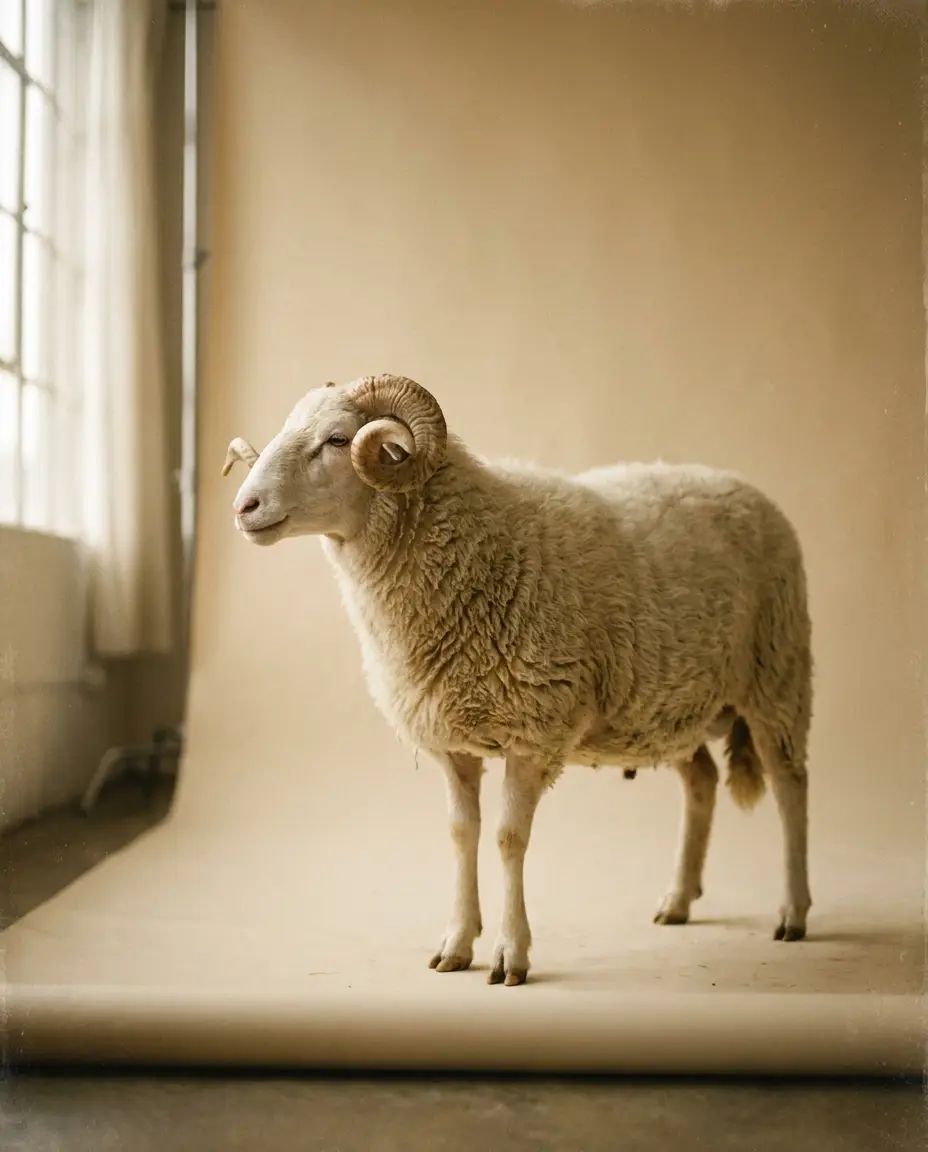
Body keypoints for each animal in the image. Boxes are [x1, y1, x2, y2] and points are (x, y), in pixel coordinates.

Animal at [223, 373, 813, 986]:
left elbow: (508, 839)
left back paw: (792, 912)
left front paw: (511, 953)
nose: (244, 506)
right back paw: (677, 900)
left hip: (777, 676)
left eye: (338, 439)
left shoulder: (533, 733)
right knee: (701, 782)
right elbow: (462, 834)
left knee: (790, 786)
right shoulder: (452, 744)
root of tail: (746, 487)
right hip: (671, 705)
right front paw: (457, 943)